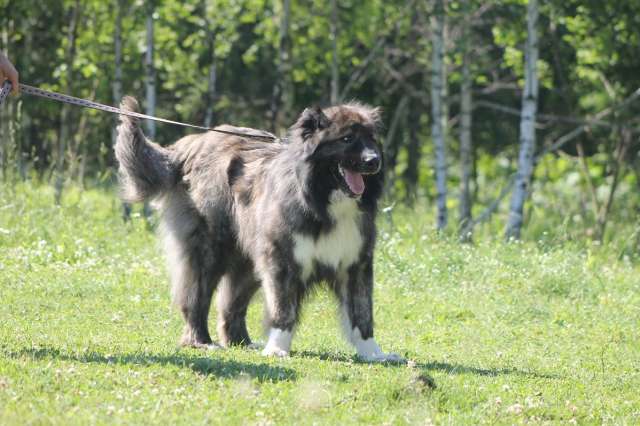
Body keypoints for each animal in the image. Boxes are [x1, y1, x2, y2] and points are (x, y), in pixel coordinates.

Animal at [114, 97, 402, 362]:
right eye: (347, 138)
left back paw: (241, 342)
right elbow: (282, 309)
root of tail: (190, 146)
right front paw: (277, 348)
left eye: (372, 139)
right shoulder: (282, 262)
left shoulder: (356, 265)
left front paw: (373, 353)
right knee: (196, 299)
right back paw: (201, 342)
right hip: (210, 251)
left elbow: (362, 313)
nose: (373, 161)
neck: (321, 198)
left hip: (247, 260)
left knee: (230, 305)